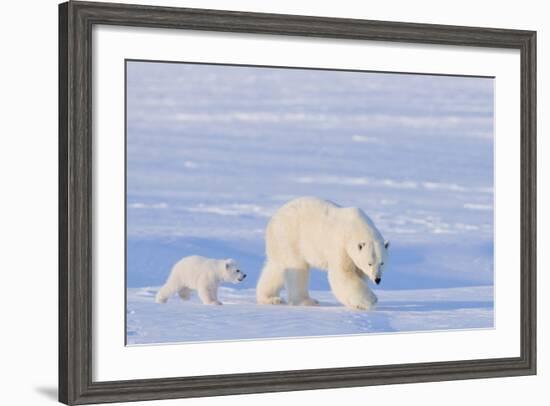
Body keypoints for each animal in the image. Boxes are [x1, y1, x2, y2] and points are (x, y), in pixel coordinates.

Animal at [258, 197, 390, 310]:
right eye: (369, 263)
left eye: (382, 263)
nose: (377, 279)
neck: (355, 228)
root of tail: (273, 219)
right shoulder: (340, 245)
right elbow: (342, 274)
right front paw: (372, 299)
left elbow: (358, 274)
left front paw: (357, 304)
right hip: (290, 237)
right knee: (297, 268)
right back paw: (308, 301)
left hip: (280, 244)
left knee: (277, 268)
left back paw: (270, 298)